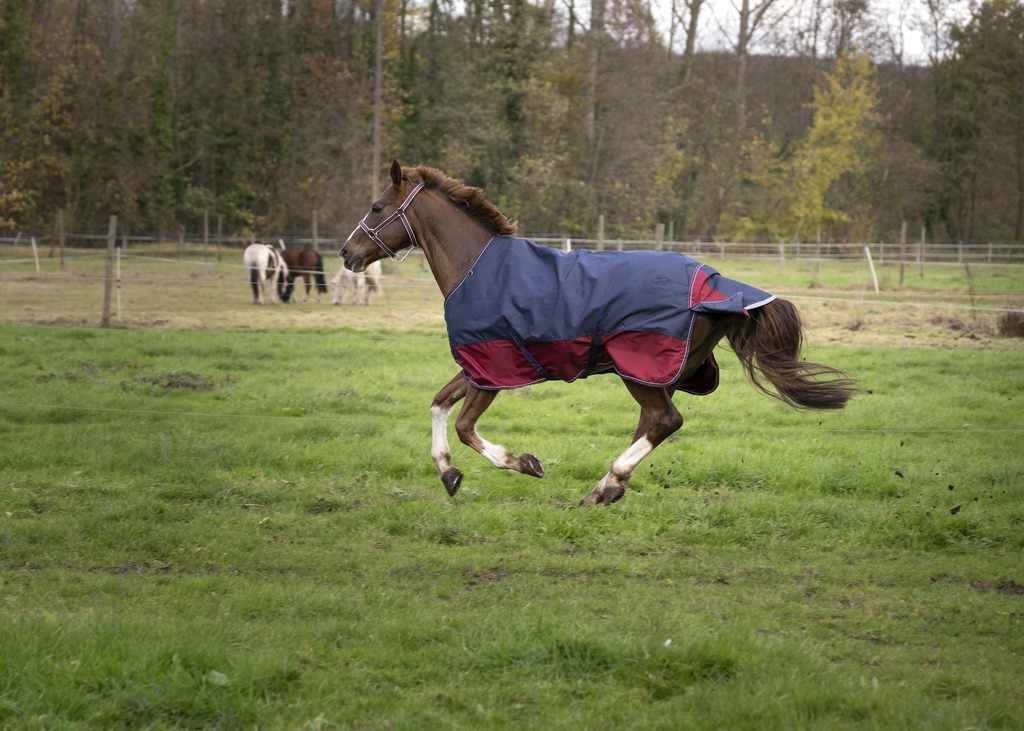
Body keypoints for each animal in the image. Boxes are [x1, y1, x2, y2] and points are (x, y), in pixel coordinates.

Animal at [340, 161, 854, 506]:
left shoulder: (493, 366)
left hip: (639, 368)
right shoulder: (476, 365)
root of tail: (717, 285)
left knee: (665, 421)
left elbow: (466, 426)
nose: (347, 252)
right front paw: (448, 475)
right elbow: (438, 403)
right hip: (658, 374)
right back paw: (609, 486)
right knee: (653, 423)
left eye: (377, 206)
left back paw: (606, 484)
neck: (476, 267)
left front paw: (526, 463)